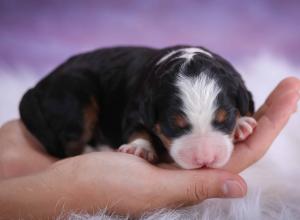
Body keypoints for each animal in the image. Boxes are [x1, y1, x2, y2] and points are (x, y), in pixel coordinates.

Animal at [19, 45, 256, 169]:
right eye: (174, 126)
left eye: (225, 119)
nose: (205, 160)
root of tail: (38, 86)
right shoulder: (136, 108)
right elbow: (137, 129)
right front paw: (140, 148)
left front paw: (242, 124)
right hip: (75, 96)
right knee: (71, 143)